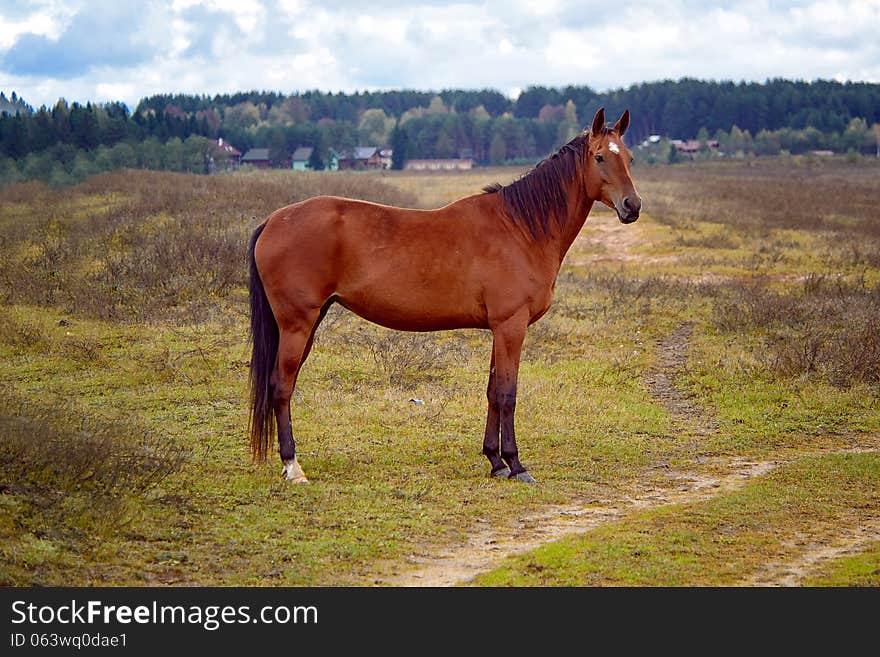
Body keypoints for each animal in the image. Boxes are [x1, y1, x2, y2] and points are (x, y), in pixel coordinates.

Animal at [248, 107, 640, 484]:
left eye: (630, 158)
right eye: (600, 157)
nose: (632, 206)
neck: (520, 228)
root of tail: (273, 221)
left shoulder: (498, 330)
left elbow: (492, 392)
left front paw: (495, 461)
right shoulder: (511, 327)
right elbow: (507, 394)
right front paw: (515, 464)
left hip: (309, 323)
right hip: (297, 325)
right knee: (281, 387)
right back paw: (293, 467)